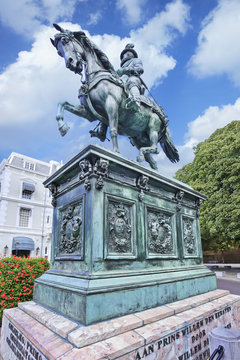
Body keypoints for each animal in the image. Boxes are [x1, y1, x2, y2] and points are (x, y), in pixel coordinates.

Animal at [50, 23, 179, 170]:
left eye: (66, 41)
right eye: (59, 52)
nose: (71, 64)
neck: (96, 75)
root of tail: (161, 112)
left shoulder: (111, 105)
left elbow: (113, 129)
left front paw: (115, 152)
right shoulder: (88, 113)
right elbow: (62, 103)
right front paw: (62, 127)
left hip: (153, 127)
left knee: (155, 148)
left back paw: (141, 156)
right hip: (138, 138)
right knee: (152, 159)